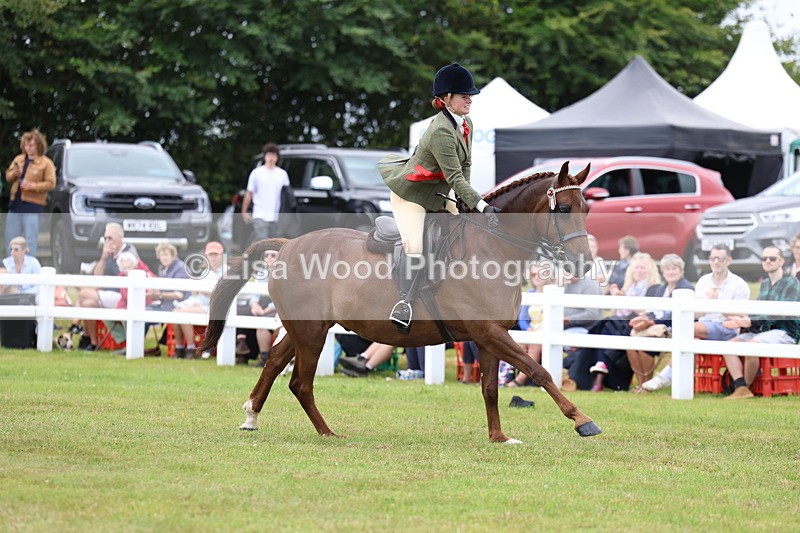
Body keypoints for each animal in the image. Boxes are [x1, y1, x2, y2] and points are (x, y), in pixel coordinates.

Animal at [201, 162, 602, 442]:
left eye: (587, 209)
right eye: (562, 209)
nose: (582, 263)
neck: (493, 247)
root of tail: (287, 245)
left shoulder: (489, 335)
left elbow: (490, 388)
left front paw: (499, 437)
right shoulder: (489, 331)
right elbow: (539, 371)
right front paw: (583, 420)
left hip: (306, 329)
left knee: (273, 363)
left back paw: (252, 417)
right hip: (312, 333)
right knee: (300, 383)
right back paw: (327, 433)